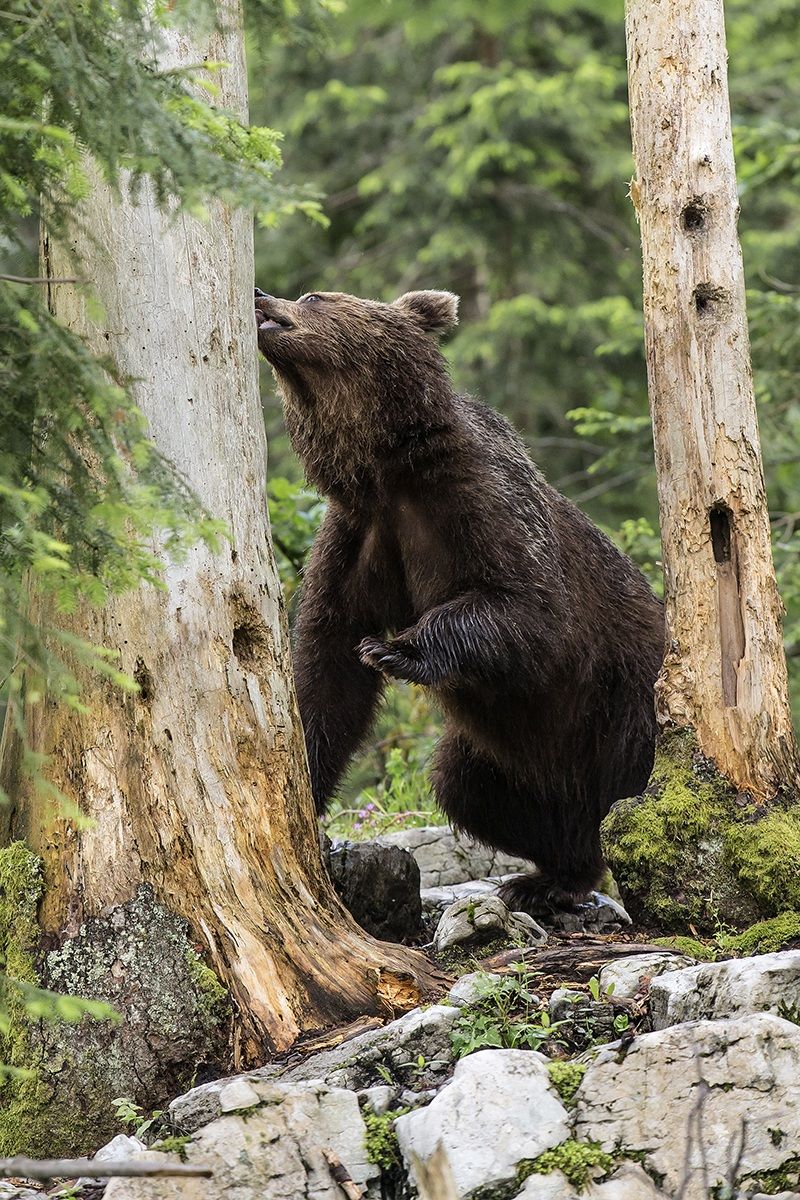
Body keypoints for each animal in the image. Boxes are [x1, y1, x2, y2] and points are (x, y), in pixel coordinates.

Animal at [255, 285, 665, 912]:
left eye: (315, 296)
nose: (260, 295)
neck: (384, 462)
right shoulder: (360, 533)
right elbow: (329, 666)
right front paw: (308, 793)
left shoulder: (479, 496)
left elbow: (527, 604)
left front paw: (397, 650)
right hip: (511, 758)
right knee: (474, 790)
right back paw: (548, 877)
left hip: (625, 708)